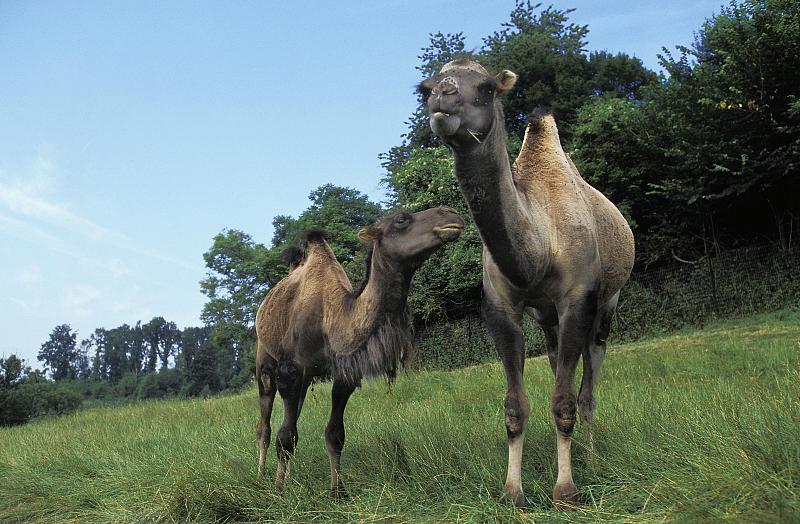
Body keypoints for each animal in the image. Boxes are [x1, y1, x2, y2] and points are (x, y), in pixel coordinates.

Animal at [253, 205, 466, 496]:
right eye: (401, 219)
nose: (452, 214)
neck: (330, 319)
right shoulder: (290, 370)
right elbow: (284, 436)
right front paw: (278, 489)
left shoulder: (346, 372)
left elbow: (334, 434)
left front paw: (338, 491)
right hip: (264, 357)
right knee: (265, 424)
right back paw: (262, 474)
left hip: (305, 378)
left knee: (293, 417)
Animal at [418, 58, 636, 508]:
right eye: (424, 88)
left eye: (486, 88)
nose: (443, 98)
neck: (538, 246)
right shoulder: (501, 308)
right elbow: (515, 407)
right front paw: (512, 491)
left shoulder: (577, 299)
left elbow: (565, 402)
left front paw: (566, 490)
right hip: (547, 320)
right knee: (556, 361)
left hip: (607, 305)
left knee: (588, 383)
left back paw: (591, 455)